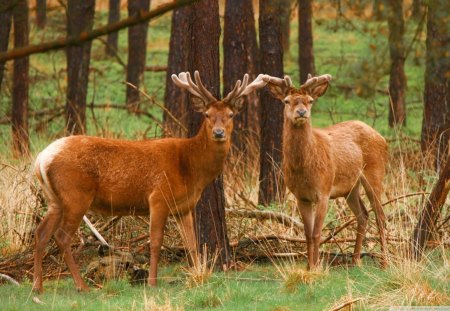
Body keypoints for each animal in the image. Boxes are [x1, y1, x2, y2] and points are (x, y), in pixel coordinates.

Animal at [33, 71, 268, 294]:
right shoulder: (158, 198)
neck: (190, 169)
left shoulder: (184, 207)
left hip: (55, 199)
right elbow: (155, 243)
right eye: (207, 114)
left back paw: (38, 286)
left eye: (230, 114)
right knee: (62, 237)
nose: (218, 133)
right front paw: (153, 282)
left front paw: (199, 277)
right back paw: (81, 286)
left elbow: (192, 244)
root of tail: (41, 158)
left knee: (41, 233)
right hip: (76, 195)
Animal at [264, 74, 386, 270]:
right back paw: (355, 260)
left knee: (380, 216)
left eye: (310, 101)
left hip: (375, 174)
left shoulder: (324, 191)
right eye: (286, 100)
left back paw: (384, 262)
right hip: (351, 187)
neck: (304, 169)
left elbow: (316, 233)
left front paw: (315, 267)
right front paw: (308, 266)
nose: (301, 112)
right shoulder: (301, 196)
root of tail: (382, 138)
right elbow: (307, 234)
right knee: (363, 214)